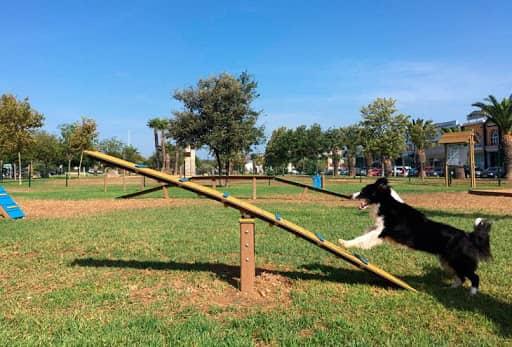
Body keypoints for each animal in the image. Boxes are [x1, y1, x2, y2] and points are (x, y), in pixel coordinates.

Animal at [338, 178, 490, 294]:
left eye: (364, 190)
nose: (350, 196)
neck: (387, 204)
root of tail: (468, 235)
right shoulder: (379, 230)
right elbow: (366, 232)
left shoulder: (381, 232)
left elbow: (363, 238)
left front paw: (344, 242)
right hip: (447, 260)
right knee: (461, 277)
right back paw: (451, 288)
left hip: (459, 260)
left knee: (474, 276)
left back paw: (472, 293)